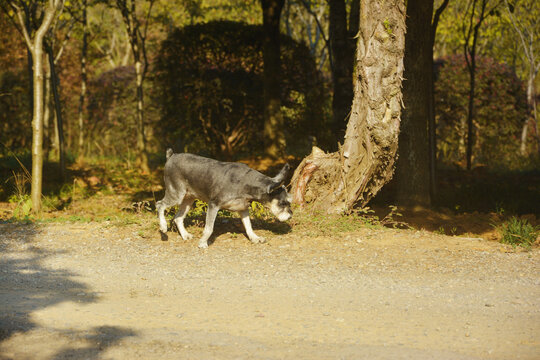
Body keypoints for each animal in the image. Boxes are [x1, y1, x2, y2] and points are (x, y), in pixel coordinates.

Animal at [156, 149, 292, 248]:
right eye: (282, 203)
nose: (290, 216)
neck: (246, 183)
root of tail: (171, 156)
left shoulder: (243, 209)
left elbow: (248, 225)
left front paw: (255, 238)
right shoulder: (213, 205)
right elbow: (209, 228)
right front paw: (203, 243)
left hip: (188, 200)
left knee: (178, 218)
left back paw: (185, 235)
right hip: (176, 195)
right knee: (159, 204)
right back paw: (163, 227)